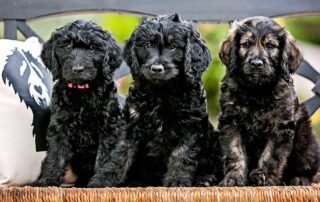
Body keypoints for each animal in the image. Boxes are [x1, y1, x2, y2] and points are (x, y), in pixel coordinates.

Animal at [33, 19, 124, 187]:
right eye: (67, 46)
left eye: (93, 48)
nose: (77, 69)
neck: (82, 93)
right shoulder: (60, 126)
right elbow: (56, 155)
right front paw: (46, 181)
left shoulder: (108, 127)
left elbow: (104, 156)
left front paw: (100, 182)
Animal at [88, 13, 220, 188]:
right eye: (148, 45)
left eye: (173, 46)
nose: (157, 69)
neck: (161, 92)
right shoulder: (132, 122)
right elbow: (120, 153)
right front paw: (103, 179)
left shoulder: (190, 125)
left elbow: (181, 154)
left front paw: (176, 181)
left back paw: (205, 179)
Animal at [218, 16, 320, 187]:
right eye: (246, 44)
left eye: (271, 46)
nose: (256, 64)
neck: (257, 91)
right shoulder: (231, 122)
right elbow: (235, 152)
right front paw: (233, 178)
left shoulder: (279, 127)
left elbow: (270, 157)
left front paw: (263, 177)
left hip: (306, 142)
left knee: (307, 167)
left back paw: (299, 178)